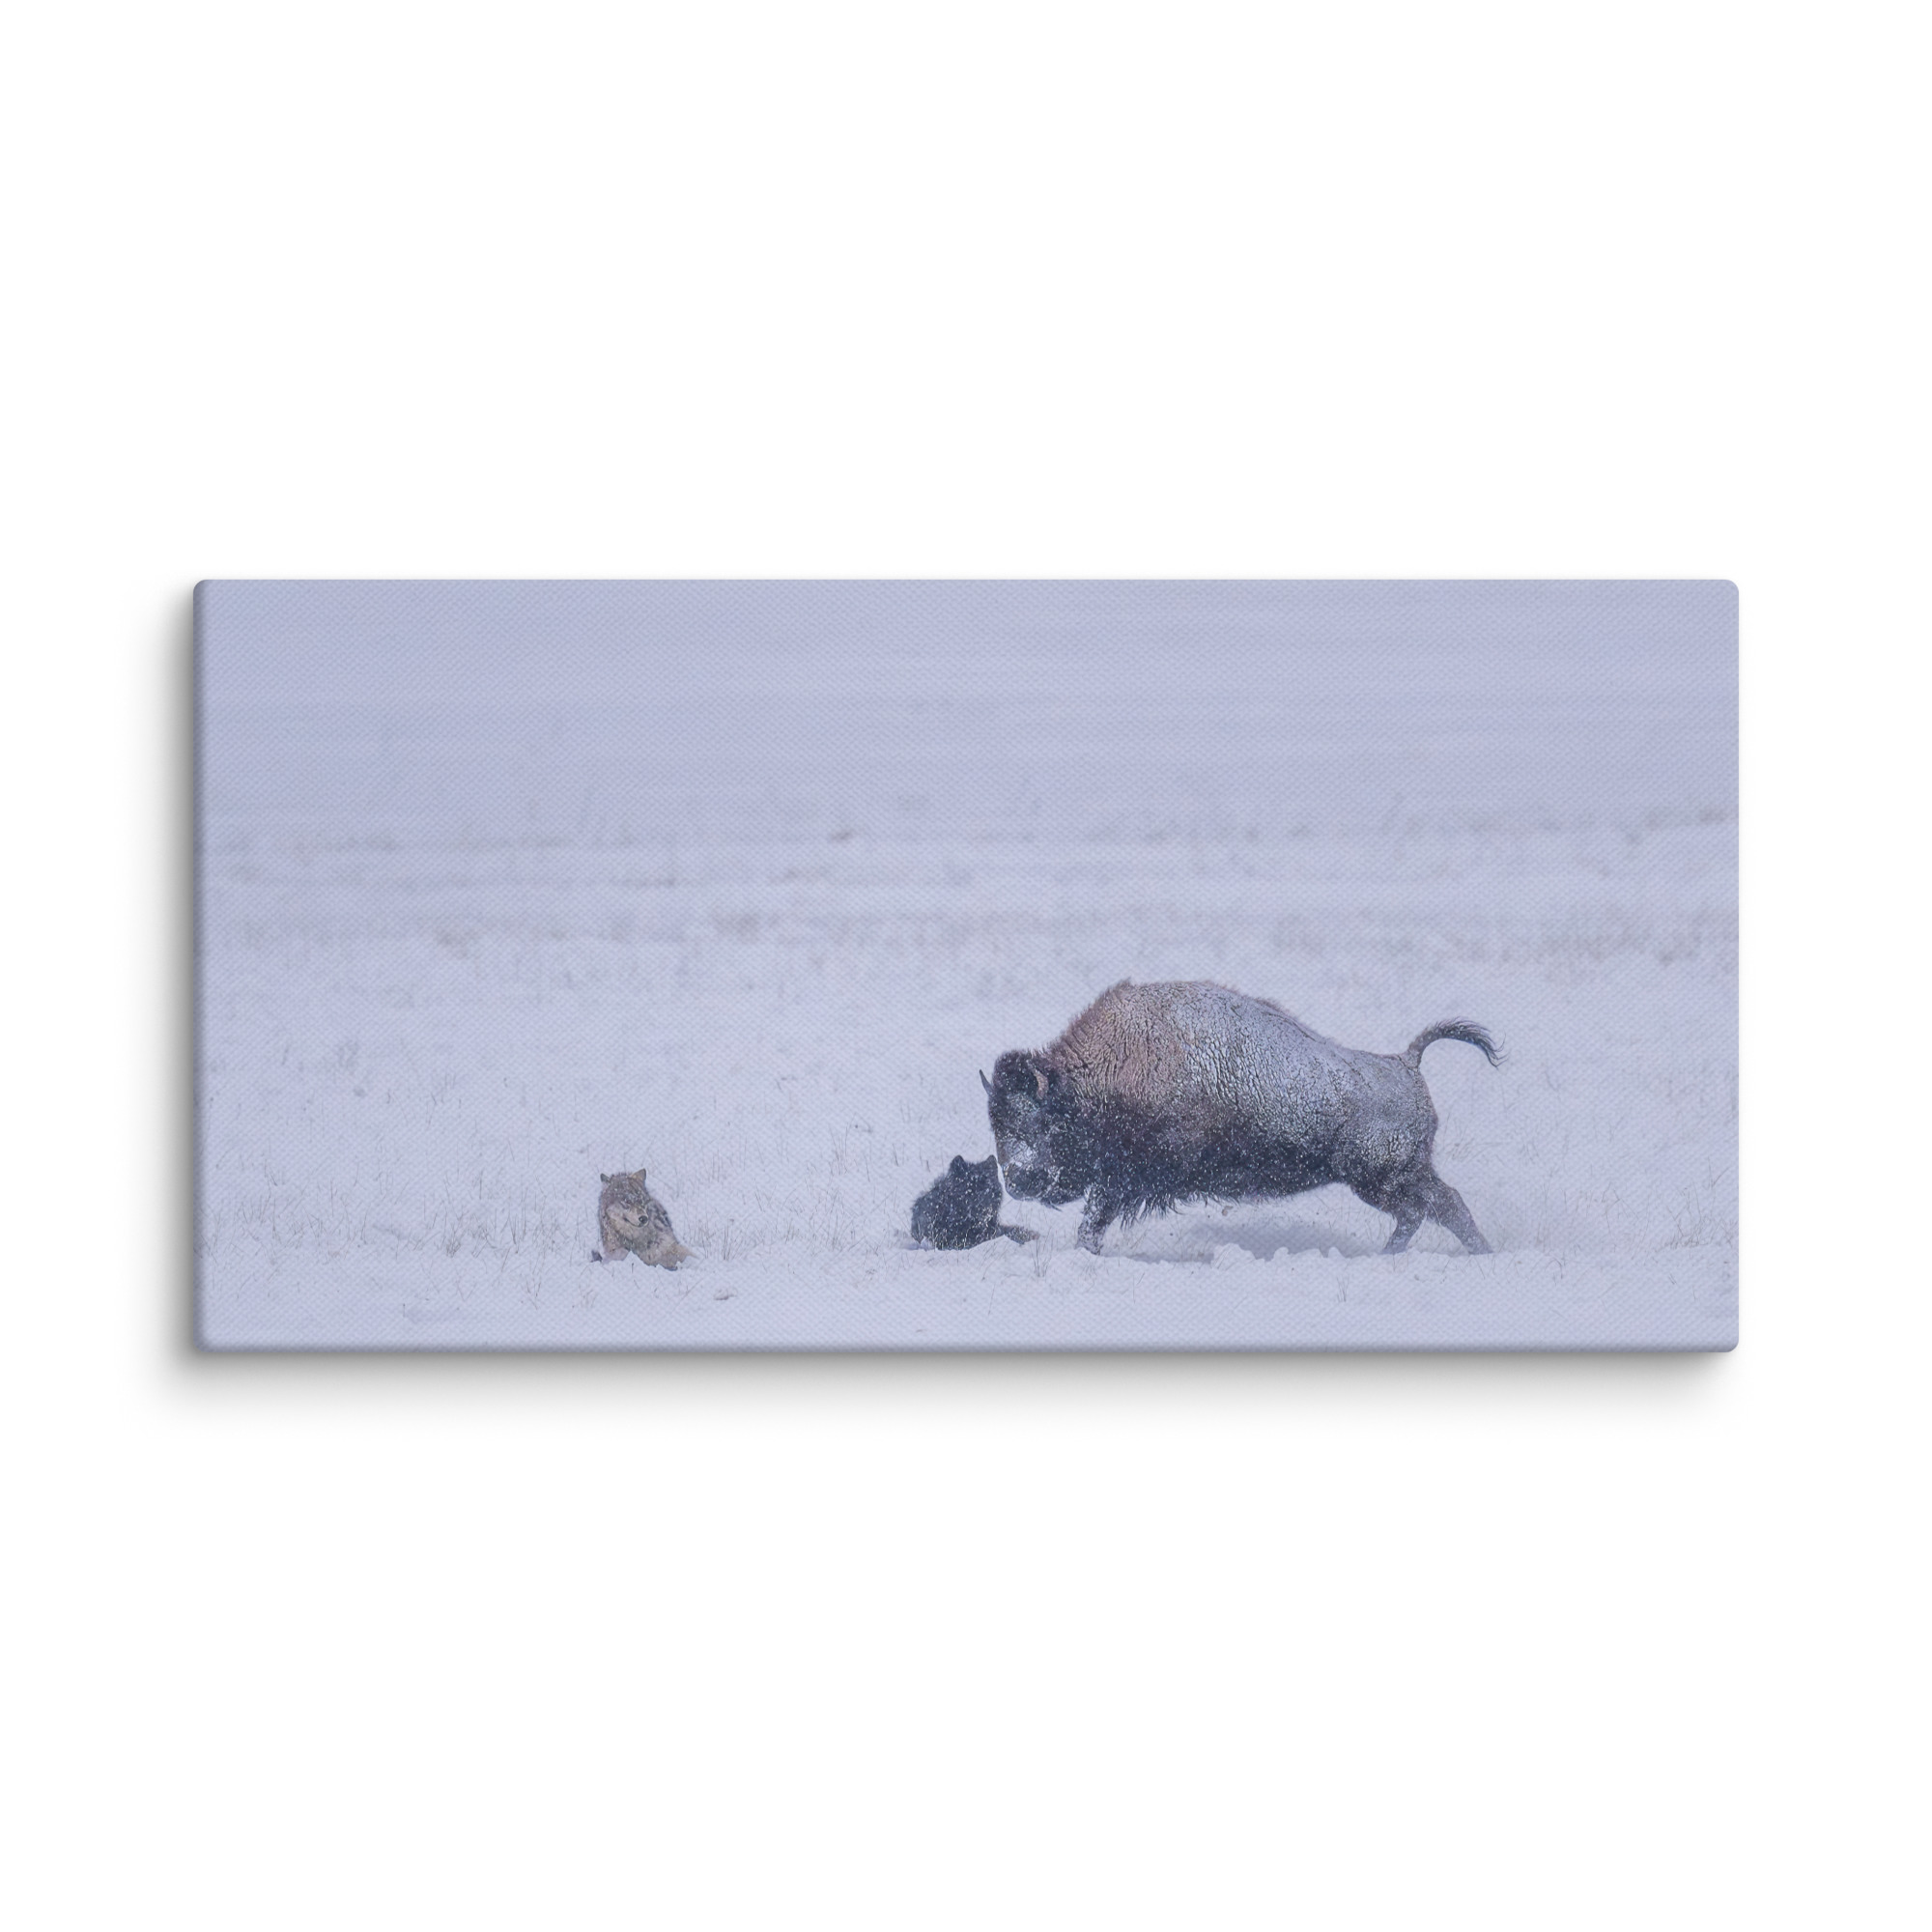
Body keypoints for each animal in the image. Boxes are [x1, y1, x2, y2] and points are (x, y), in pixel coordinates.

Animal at [982, 979, 1499, 1256]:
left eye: (1042, 1122)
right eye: (997, 1124)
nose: (1017, 1180)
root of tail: (1405, 1063)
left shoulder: (1124, 1181)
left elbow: (1092, 1221)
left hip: (1382, 1178)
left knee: (1433, 1207)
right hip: (1391, 1177)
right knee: (1434, 1208)